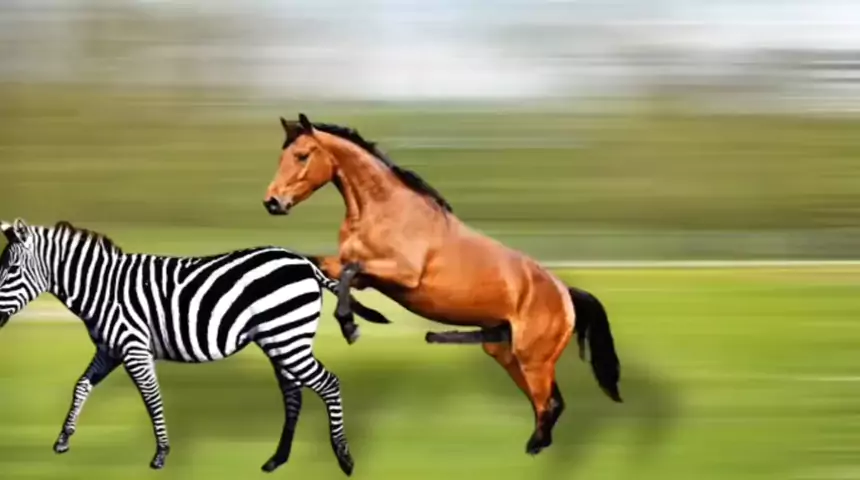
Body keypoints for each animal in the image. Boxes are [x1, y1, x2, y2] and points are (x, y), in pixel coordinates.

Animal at [0, 218, 391, 476]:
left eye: (11, 269)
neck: (101, 289)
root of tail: (305, 262)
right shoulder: (109, 351)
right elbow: (80, 386)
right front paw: (63, 439)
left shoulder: (134, 348)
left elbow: (152, 399)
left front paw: (161, 454)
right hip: (281, 341)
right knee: (294, 395)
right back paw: (277, 459)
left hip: (288, 338)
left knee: (329, 384)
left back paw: (344, 459)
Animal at [262, 113, 622, 455]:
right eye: (282, 156)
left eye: (303, 155)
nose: (273, 202)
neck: (382, 212)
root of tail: (565, 293)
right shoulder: (358, 271)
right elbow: (323, 267)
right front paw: (361, 316)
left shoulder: (401, 274)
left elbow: (350, 273)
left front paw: (351, 326)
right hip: (507, 354)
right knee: (546, 403)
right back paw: (536, 443)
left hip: (534, 360)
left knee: (549, 403)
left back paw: (534, 448)